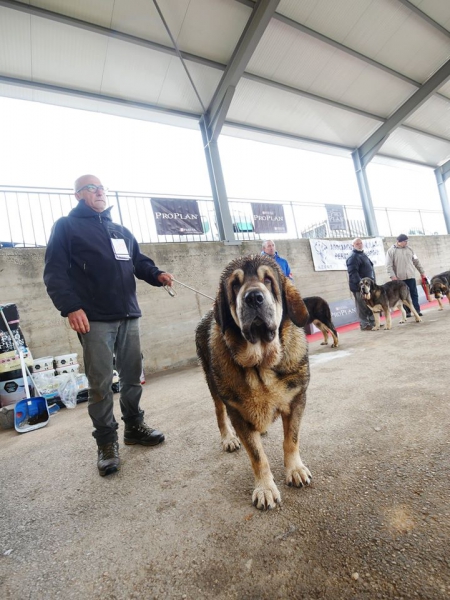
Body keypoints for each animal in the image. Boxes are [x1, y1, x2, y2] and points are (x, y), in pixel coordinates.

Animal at [195, 254, 314, 510]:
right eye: (235, 284)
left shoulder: (297, 399)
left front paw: (295, 469)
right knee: (219, 413)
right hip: (213, 385)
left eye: (268, 280)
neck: (261, 365)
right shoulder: (237, 413)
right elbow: (258, 456)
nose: (253, 297)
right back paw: (229, 438)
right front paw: (265, 488)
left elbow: (291, 440)